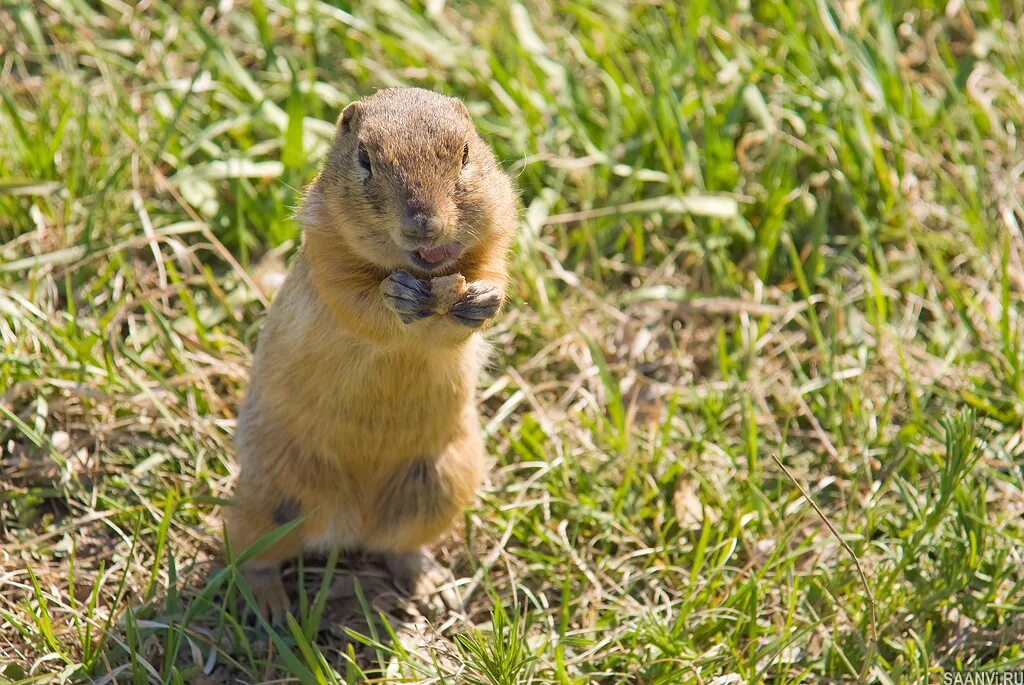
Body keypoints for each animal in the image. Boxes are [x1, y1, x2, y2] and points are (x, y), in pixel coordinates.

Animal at [222, 88, 512, 618]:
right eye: (364, 159)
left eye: (465, 154)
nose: (424, 226)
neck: (422, 272)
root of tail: (351, 523)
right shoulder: (327, 256)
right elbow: (362, 305)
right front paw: (398, 298)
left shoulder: (496, 237)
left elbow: (487, 282)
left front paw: (482, 299)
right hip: (269, 498)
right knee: (248, 552)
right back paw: (269, 607)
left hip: (439, 486)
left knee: (397, 545)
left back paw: (430, 585)